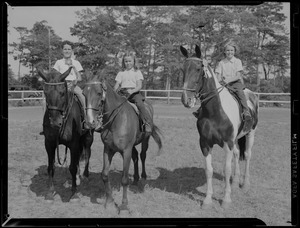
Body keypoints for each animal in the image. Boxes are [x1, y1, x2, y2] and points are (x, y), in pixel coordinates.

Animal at [37, 67, 94, 201]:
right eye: (45, 93)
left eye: (62, 93)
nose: (55, 122)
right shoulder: (49, 144)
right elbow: (51, 167)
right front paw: (50, 191)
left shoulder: (74, 144)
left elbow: (72, 167)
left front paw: (74, 193)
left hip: (88, 138)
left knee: (87, 154)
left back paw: (85, 176)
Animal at [82, 75, 163, 214]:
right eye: (84, 94)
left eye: (99, 93)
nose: (89, 122)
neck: (116, 121)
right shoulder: (108, 149)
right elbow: (104, 175)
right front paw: (109, 202)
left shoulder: (126, 151)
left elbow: (124, 179)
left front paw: (124, 206)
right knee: (136, 157)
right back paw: (135, 179)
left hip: (145, 140)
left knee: (142, 156)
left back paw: (143, 177)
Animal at [179, 45, 258, 209]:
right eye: (183, 69)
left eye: (198, 69)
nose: (186, 99)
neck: (215, 111)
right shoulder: (205, 144)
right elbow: (209, 170)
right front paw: (208, 200)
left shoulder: (227, 143)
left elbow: (226, 169)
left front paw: (226, 200)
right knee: (237, 154)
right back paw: (235, 183)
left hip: (250, 134)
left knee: (247, 155)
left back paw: (245, 184)